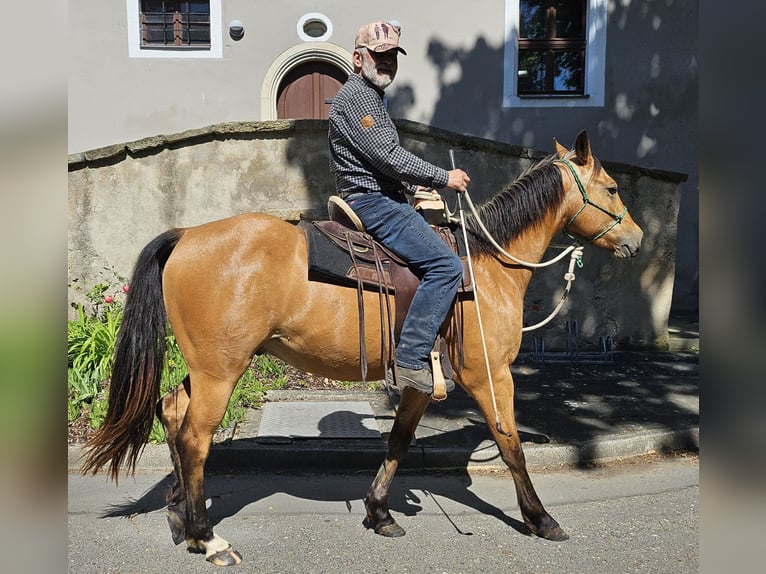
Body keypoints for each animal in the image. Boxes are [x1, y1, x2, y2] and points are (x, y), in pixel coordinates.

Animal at [81, 130, 643, 566]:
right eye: (613, 187)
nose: (636, 240)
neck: (484, 265)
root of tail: (187, 235)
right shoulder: (489, 375)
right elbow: (511, 447)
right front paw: (541, 519)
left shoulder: (420, 381)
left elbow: (398, 442)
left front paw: (379, 512)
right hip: (221, 372)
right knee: (196, 437)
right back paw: (208, 537)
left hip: (208, 366)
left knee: (173, 414)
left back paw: (181, 518)